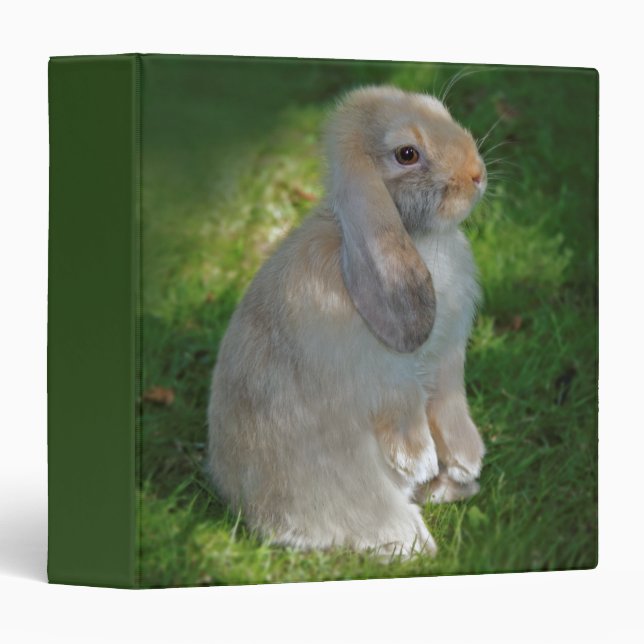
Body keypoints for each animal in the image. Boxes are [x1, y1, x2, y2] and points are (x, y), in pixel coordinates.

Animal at [207, 85, 486, 556]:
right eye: (407, 153)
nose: (477, 175)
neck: (417, 238)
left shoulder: (447, 361)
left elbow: (448, 402)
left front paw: (467, 461)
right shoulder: (387, 375)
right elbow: (405, 408)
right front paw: (419, 461)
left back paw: (452, 489)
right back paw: (412, 540)